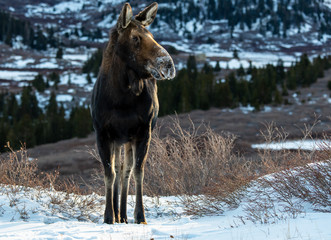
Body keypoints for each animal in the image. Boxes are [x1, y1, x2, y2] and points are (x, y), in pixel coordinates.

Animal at [91, 1, 176, 224]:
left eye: (152, 35)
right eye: (135, 38)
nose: (168, 64)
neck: (122, 98)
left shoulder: (143, 132)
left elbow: (138, 172)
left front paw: (140, 215)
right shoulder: (103, 133)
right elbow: (109, 173)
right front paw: (108, 215)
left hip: (127, 139)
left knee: (126, 171)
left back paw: (123, 214)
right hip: (117, 140)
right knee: (118, 170)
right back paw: (117, 213)